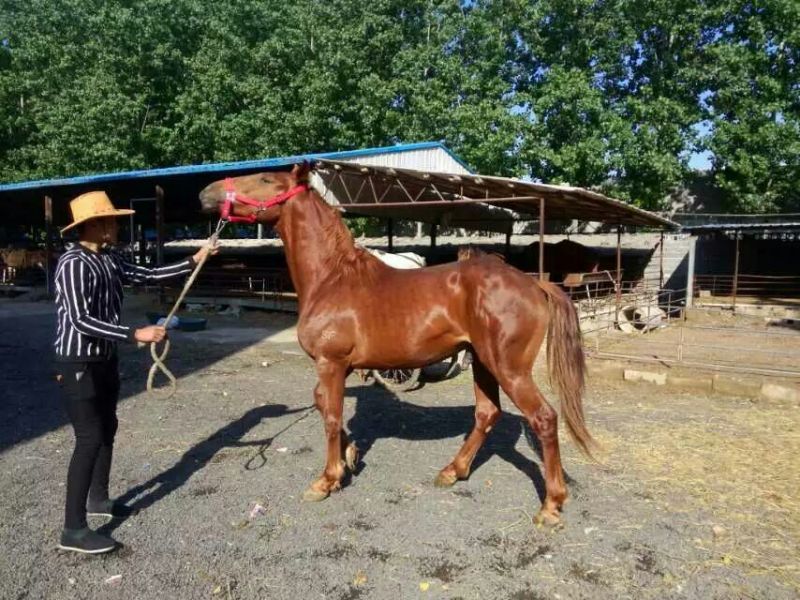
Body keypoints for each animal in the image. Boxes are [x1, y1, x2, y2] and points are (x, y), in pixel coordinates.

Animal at [199, 163, 595, 526]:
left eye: (266, 179)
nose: (206, 193)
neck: (332, 278)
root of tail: (534, 284)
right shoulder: (338, 367)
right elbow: (324, 405)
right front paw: (350, 457)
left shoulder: (330, 363)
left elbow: (330, 416)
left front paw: (327, 480)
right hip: (483, 362)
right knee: (487, 414)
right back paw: (453, 471)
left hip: (508, 368)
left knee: (543, 418)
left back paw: (550, 506)